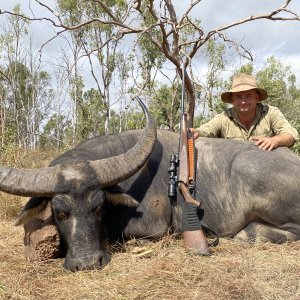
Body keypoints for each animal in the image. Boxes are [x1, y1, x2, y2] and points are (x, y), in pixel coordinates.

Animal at [0, 99, 300, 270]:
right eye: (60, 212)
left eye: (99, 208)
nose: (88, 263)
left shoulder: (153, 227)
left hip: (250, 171)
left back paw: (247, 234)